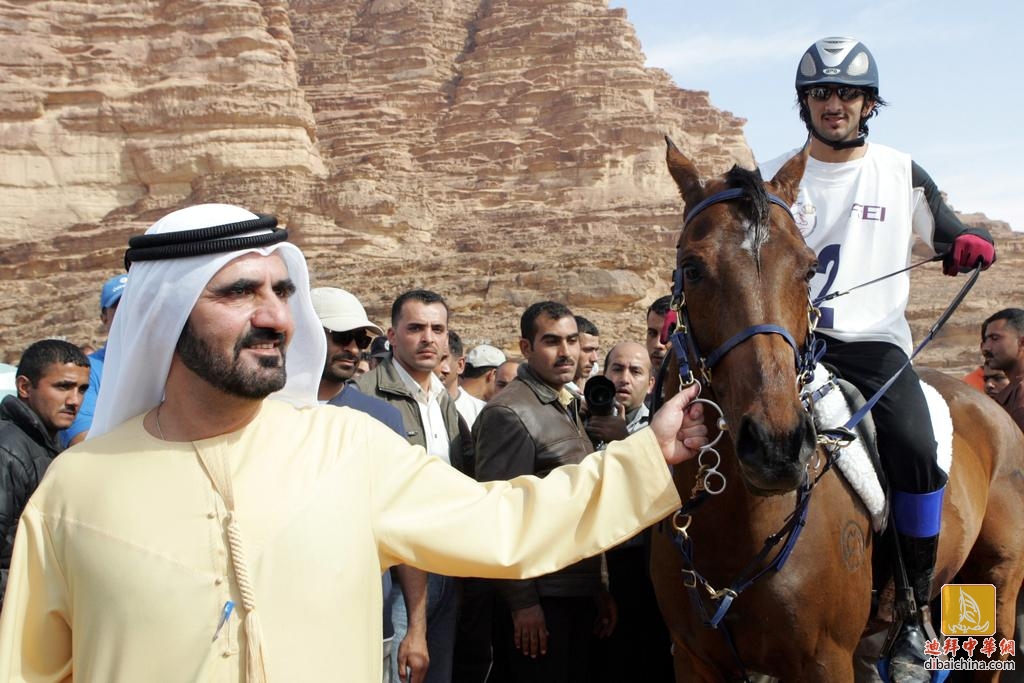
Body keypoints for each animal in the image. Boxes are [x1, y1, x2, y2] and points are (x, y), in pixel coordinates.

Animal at [651, 140, 1024, 683]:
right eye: (693, 267)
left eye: (809, 269)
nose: (776, 447)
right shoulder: (692, 659)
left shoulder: (825, 660)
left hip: (998, 584)